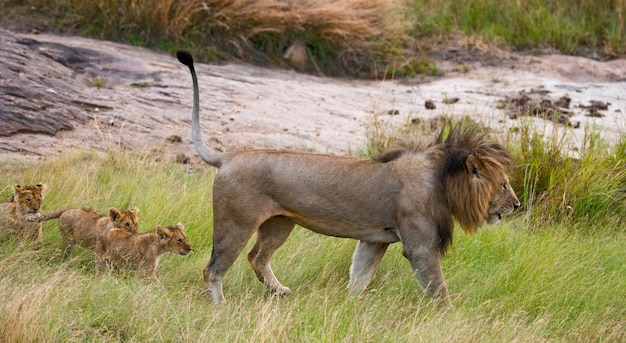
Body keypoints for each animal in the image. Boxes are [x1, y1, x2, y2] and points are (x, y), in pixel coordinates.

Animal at [174, 50, 516, 304]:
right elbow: (438, 287)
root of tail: (226, 156)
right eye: (503, 184)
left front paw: (349, 307)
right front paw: (446, 313)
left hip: (279, 223)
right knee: (213, 269)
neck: (443, 182)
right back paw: (220, 307)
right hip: (236, 224)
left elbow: (359, 275)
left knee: (257, 257)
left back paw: (280, 291)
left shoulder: (374, 239)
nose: (516, 205)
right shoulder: (419, 246)